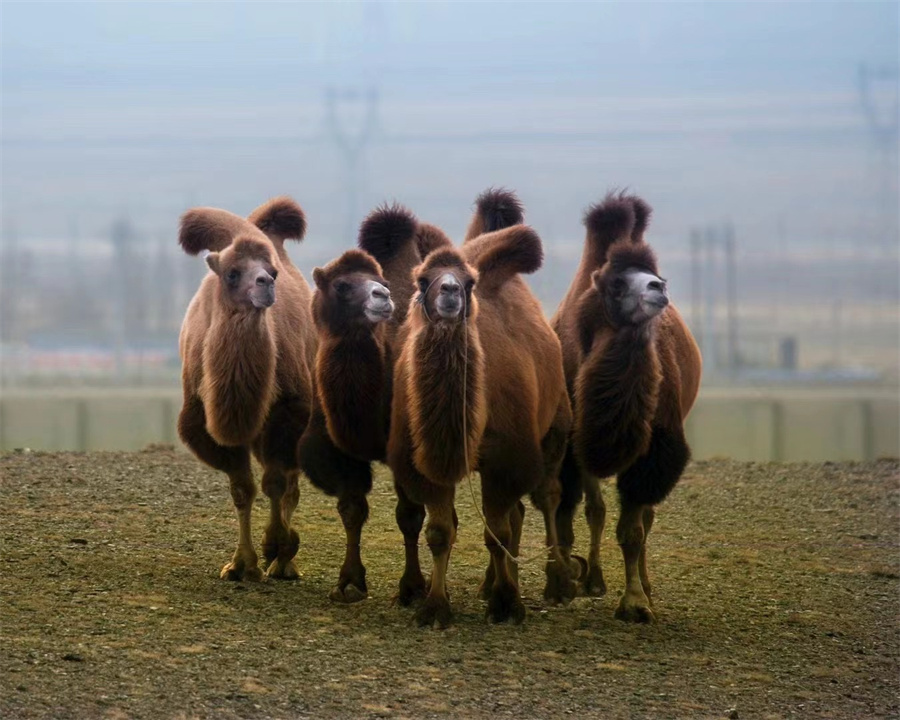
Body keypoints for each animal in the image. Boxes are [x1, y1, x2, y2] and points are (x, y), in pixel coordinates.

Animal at [177, 194, 316, 584]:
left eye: (272, 271)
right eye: (232, 273)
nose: (266, 283)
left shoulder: (289, 413)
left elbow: (275, 483)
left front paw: (277, 546)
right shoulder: (205, 421)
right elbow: (242, 489)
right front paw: (241, 564)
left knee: (290, 484)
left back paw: (286, 563)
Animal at [298, 205, 450, 604]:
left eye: (379, 280)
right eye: (342, 285)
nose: (382, 296)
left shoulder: (407, 449)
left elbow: (409, 515)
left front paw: (412, 587)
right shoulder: (335, 450)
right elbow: (352, 509)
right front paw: (349, 582)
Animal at [386, 194, 568, 628]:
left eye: (468, 283)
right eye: (423, 280)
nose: (450, 291)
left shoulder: (506, 458)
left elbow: (496, 533)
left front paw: (507, 603)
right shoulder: (423, 460)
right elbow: (439, 531)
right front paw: (435, 607)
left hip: (555, 426)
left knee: (545, 497)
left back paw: (558, 584)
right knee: (516, 515)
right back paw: (490, 584)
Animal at [548, 194, 704, 620]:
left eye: (655, 274)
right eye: (617, 283)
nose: (658, 287)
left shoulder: (653, 449)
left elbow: (632, 528)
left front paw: (635, 601)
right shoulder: (573, 444)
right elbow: (577, 511)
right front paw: (567, 582)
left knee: (645, 516)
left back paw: (645, 587)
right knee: (589, 506)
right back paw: (589, 578)